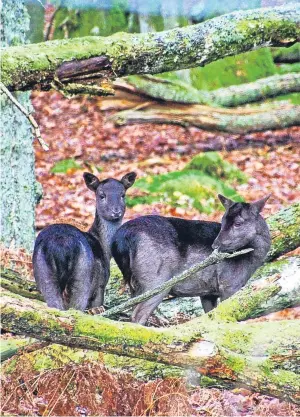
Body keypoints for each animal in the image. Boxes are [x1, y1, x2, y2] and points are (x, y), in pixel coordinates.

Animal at [32, 171, 136, 310]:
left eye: (122, 194)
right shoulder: (101, 285)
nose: (116, 211)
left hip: (42, 270)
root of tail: (60, 246)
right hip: (83, 273)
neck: (104, 249)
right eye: (101, 195)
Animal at [111, 193, 270, 324]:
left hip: (135, 284)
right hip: (155, 279)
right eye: (223, 220)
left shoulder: (208, 291)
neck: (250, 263)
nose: (215, 245)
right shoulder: (230, 283)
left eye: (238, 223)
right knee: (137, 315)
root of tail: (123, 238)